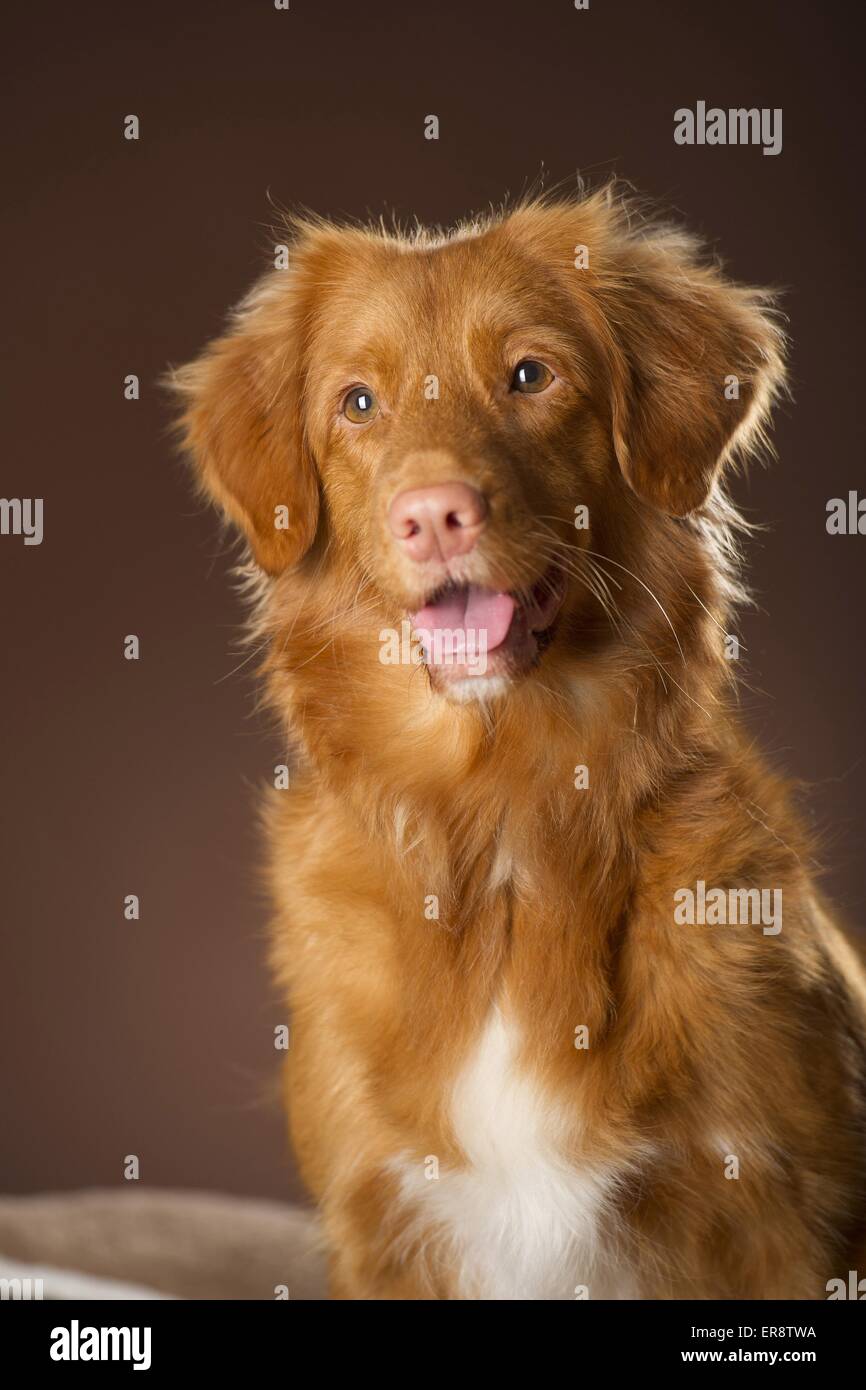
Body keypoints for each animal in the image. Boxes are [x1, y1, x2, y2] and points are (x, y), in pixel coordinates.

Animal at [174, 187, 866, 1301]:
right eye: (357, 402)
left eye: (530, 375)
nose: (432, 514)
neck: (500, 813)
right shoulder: (383, 1225)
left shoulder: (785, 1217)